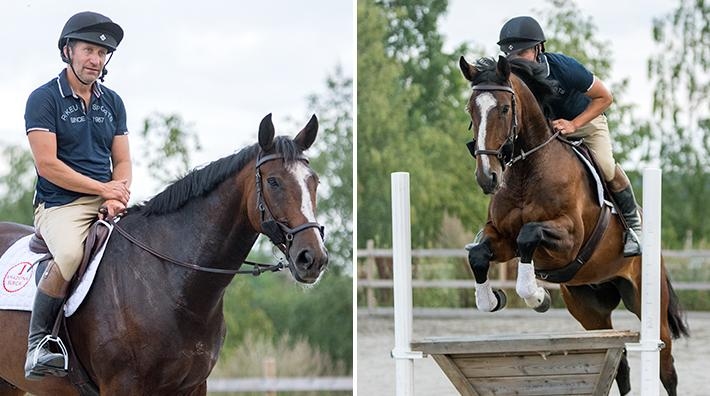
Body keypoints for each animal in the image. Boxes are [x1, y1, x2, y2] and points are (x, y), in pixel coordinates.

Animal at [0, 113, 328, 394]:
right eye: (273, 181)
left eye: (314, 181)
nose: (313, 258)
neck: (172, 282)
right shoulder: (123, 386)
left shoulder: (194, 386)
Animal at [462, 56, 688, 396]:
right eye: (471, 109)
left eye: (503, 108)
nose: (487, 177)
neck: (527, 171)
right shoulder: (501, 238)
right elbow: (478, 254)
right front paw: (490, 300)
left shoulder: (567, 240)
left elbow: (529, 236)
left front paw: (537, 297)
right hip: (589, 308)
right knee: (620, 364)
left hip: (647, 301)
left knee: (667, 367)